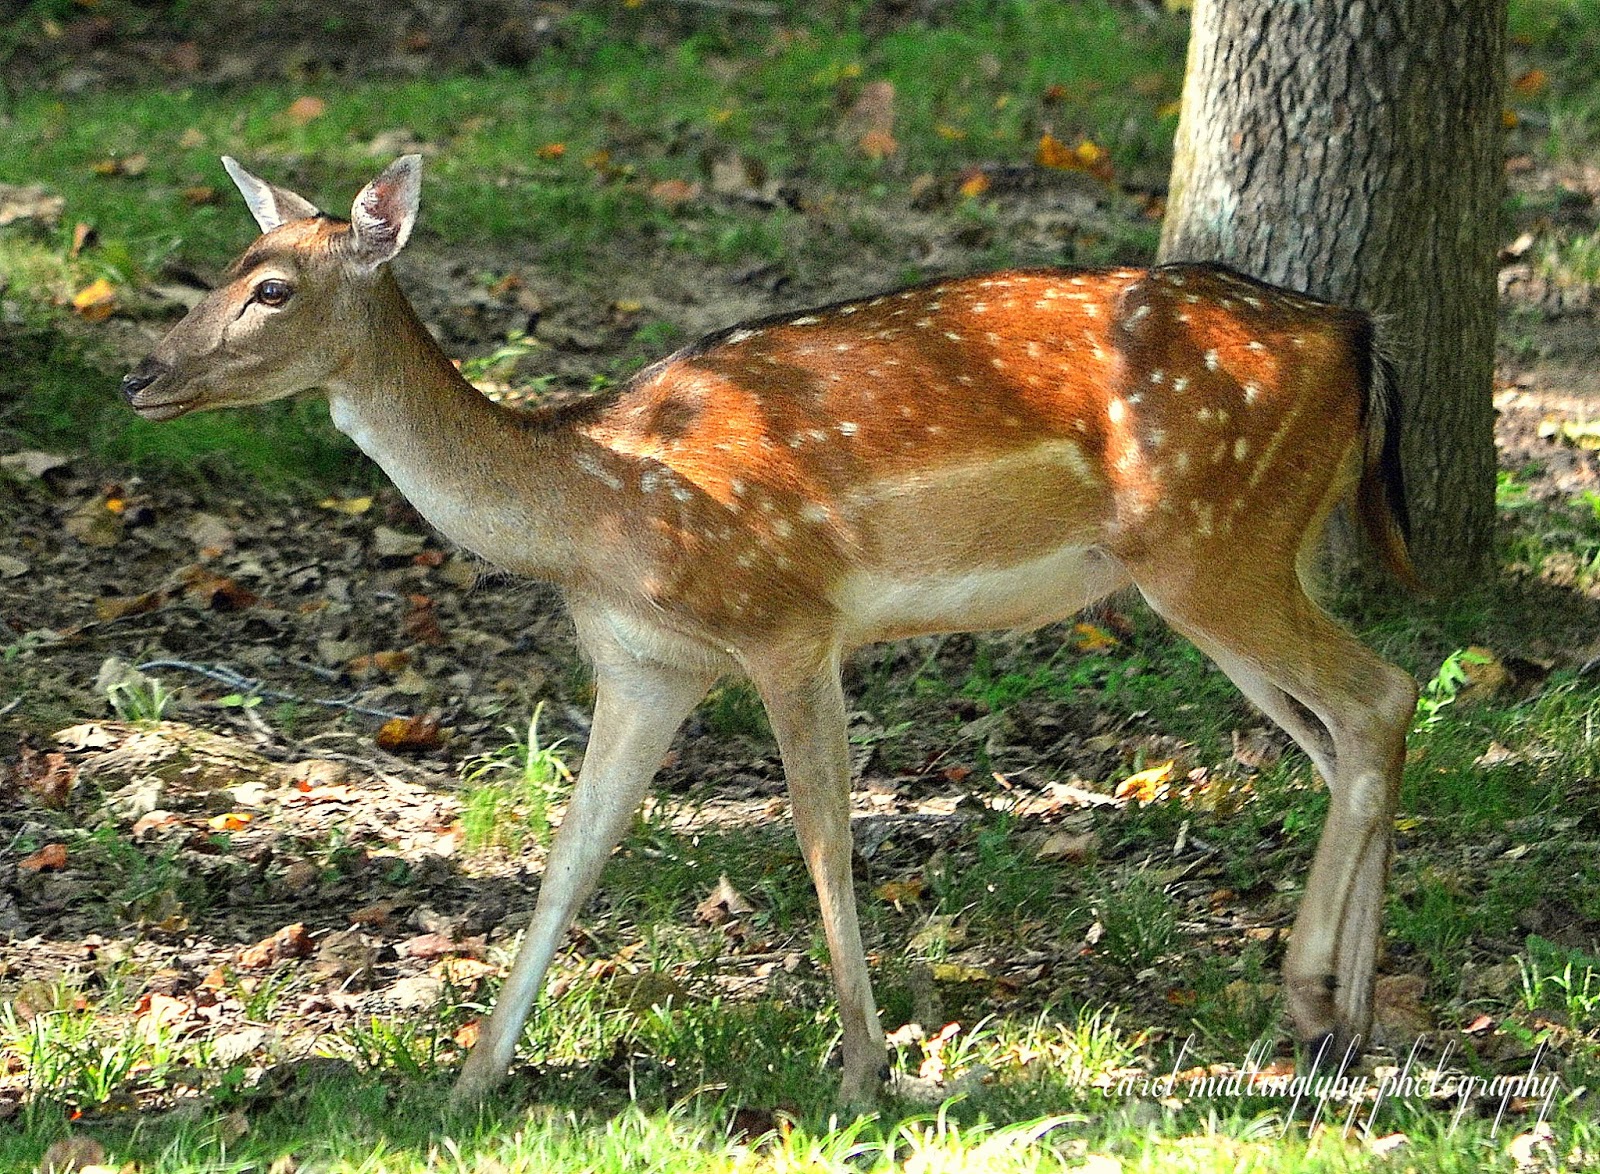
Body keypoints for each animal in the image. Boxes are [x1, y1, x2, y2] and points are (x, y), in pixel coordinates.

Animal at [123, 155, 1419, 1107]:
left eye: (272, 288)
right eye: (226, 266)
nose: (141, 375)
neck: (589, 511)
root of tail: (1357, 335)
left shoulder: (788, 618)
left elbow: (823, 837)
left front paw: (862, 1073)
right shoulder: (642, 665)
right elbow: (571, 853)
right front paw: (471, 1081)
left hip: (1214, 545)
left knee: (1379, 696)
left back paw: (1316, 999)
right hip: (1218, 565)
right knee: (1342, 734)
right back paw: (1347, 1016)